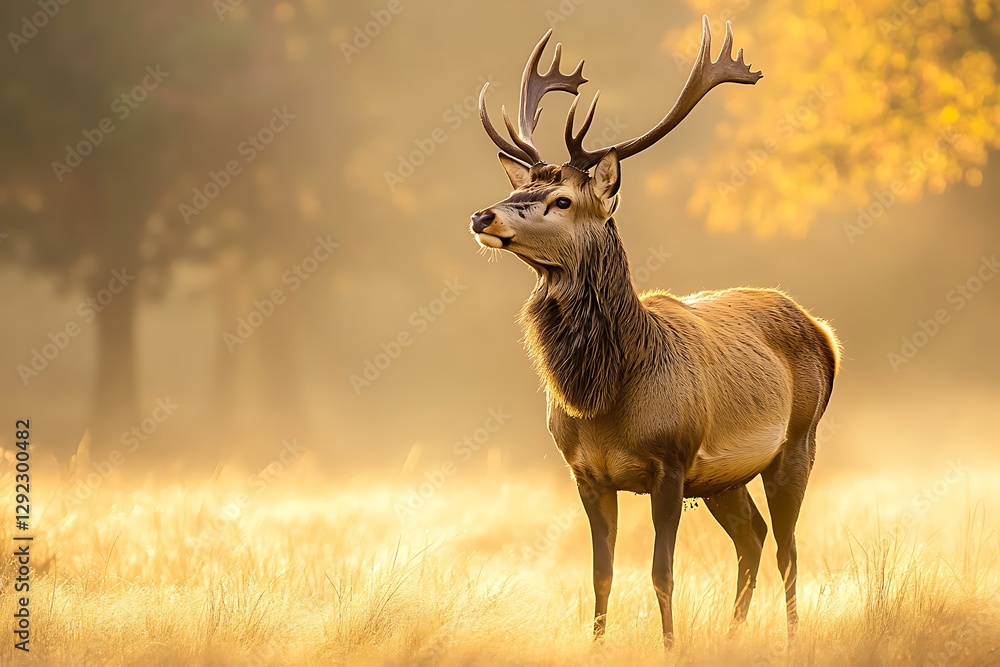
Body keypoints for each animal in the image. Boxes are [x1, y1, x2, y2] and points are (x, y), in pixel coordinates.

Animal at [468, 17, 840, 648]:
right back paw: (734, 636)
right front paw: (596, 647)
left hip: (797, 441)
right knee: (754, 537)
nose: (482, 215)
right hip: (722, 478)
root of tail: (825, 332)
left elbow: (662, 572)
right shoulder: (586, 473)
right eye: (519, 191)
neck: (603, 395)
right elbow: (601, 575)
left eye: (561, 199)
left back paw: (791, 639)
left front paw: (669, 646)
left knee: (788, 547)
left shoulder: (671, 460)